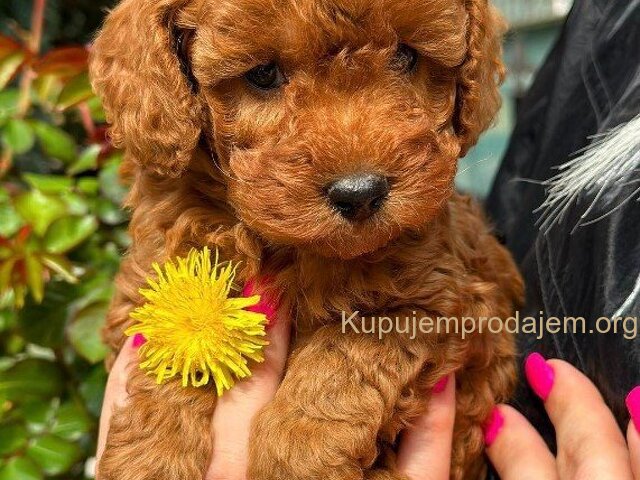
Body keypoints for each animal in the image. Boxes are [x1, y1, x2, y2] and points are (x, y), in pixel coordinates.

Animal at [90, 0, 523, 478]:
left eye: (406, 56)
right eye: (263, 74)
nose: (360, 192)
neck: (287, 248)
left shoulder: (447, 301)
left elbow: (343, 355)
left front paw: (298, 452)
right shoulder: (159, 275)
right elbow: (182, 335)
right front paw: (151, 452)